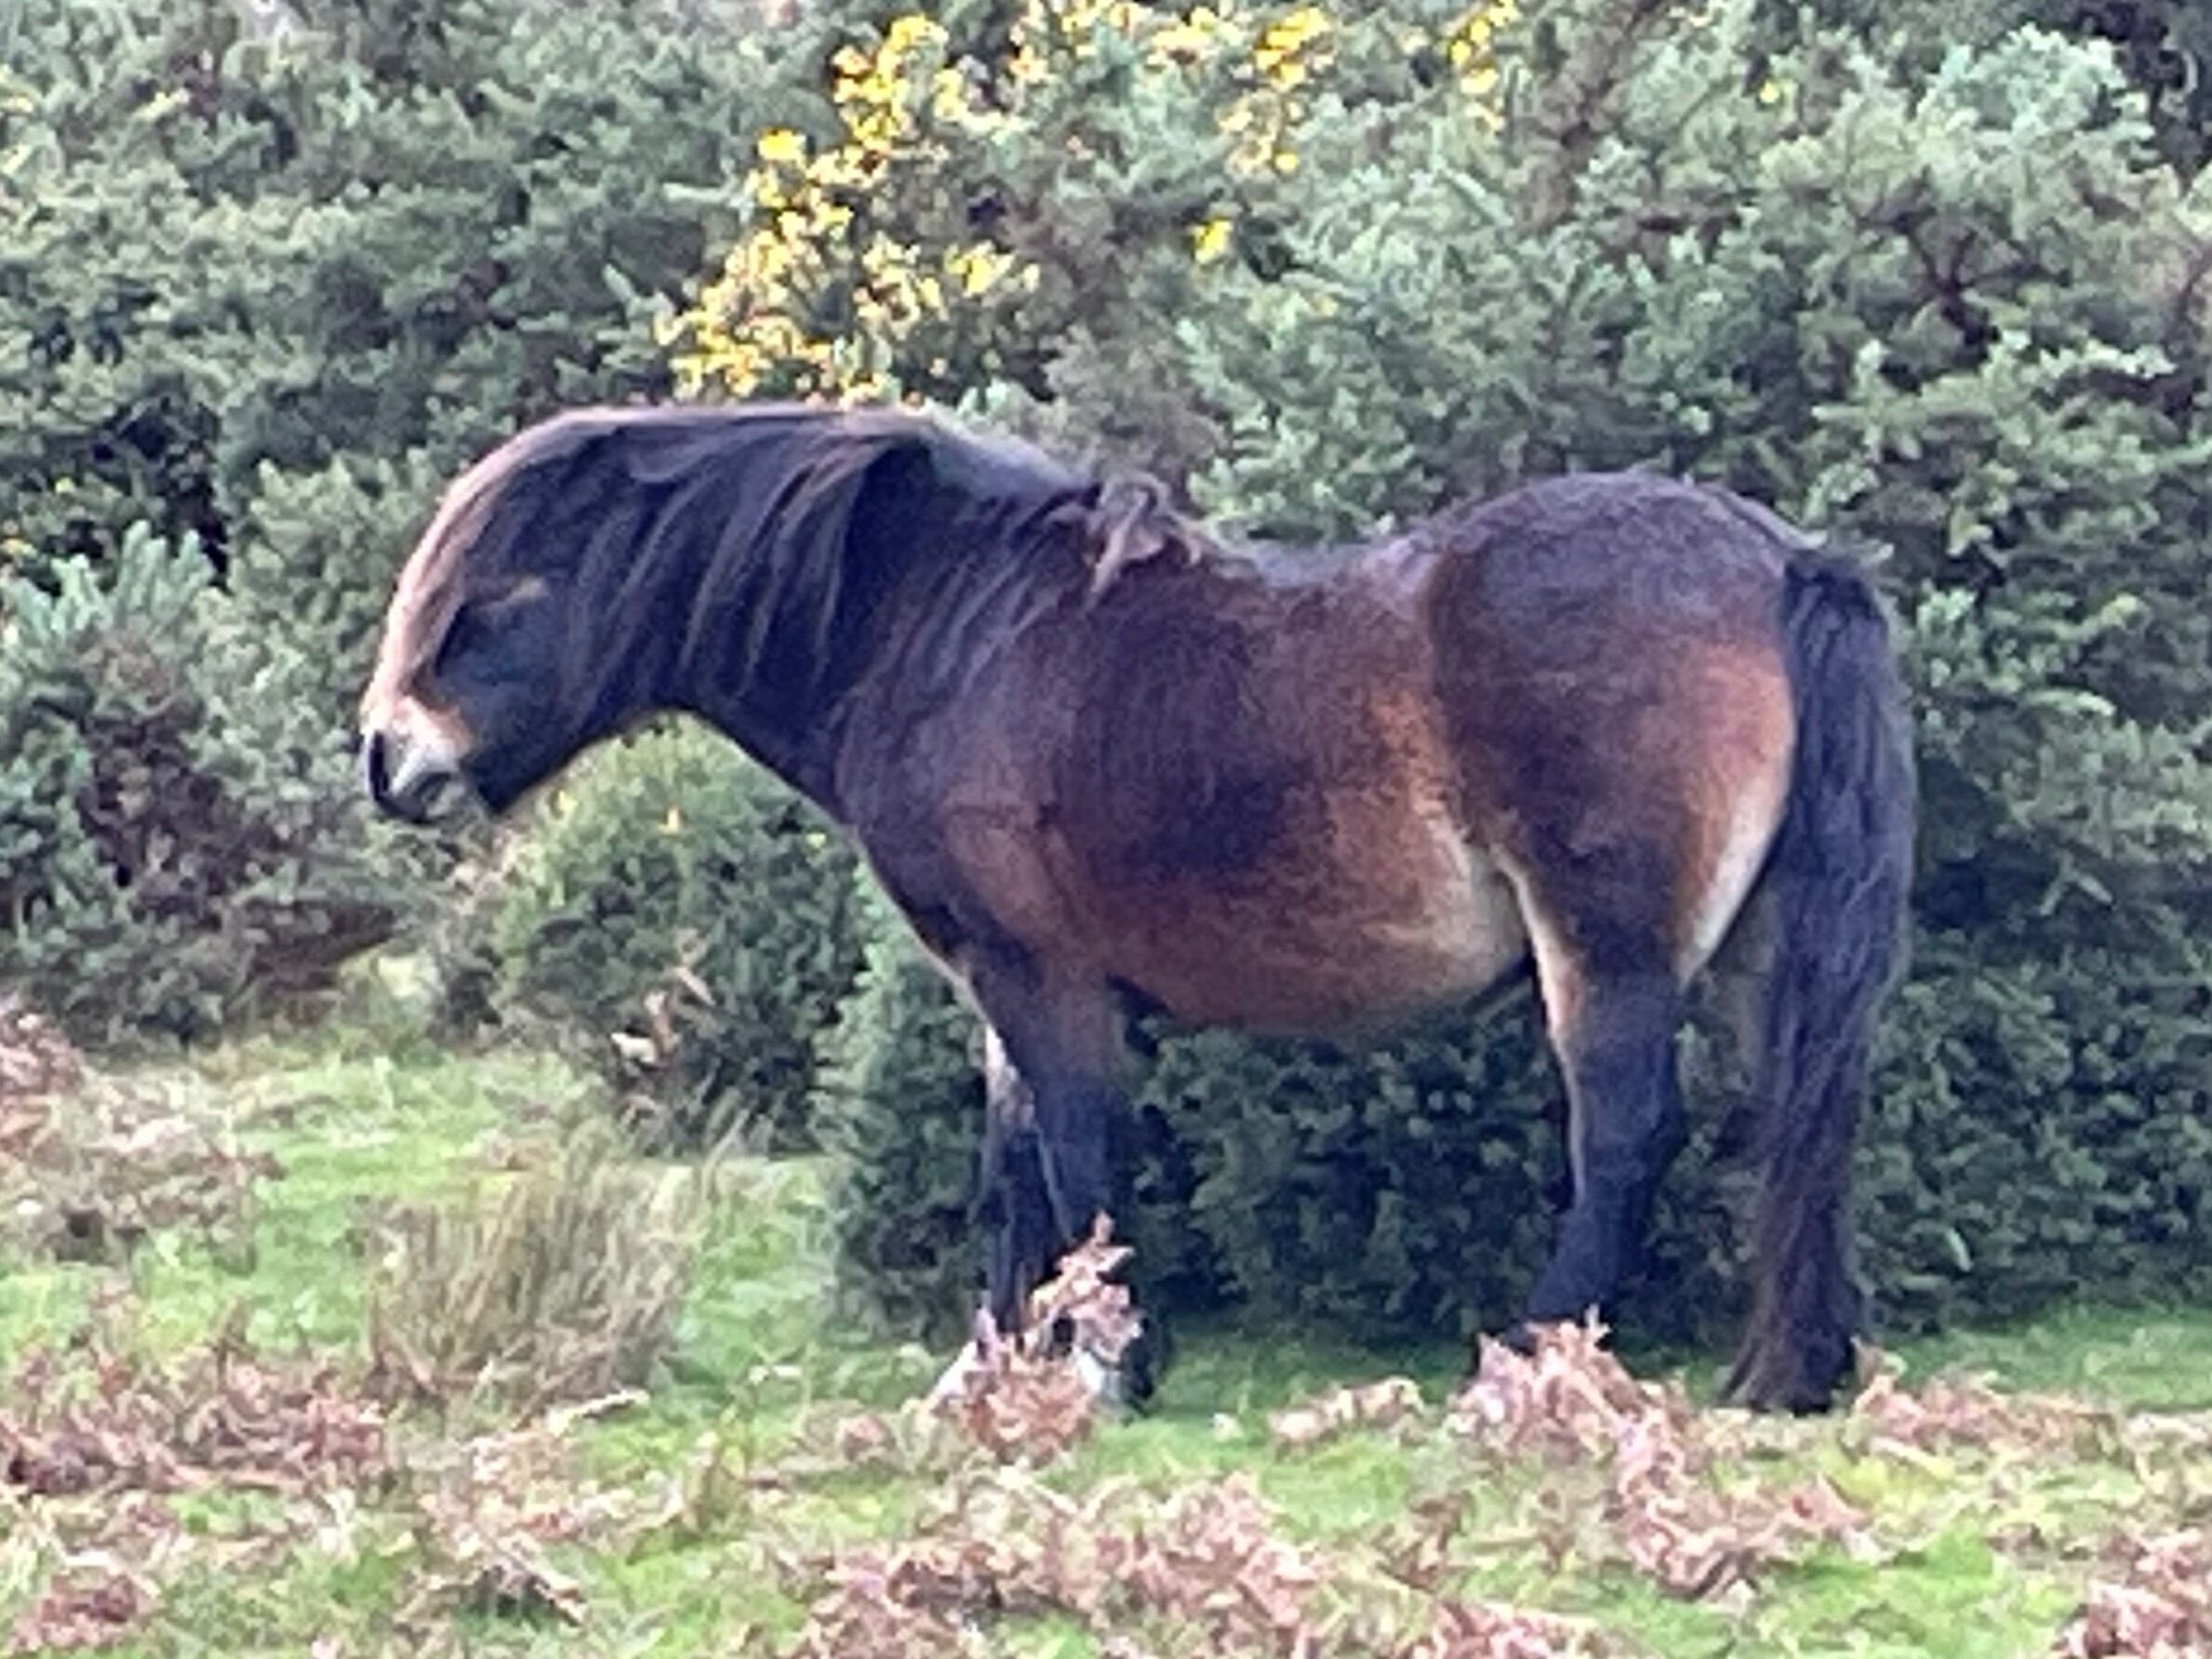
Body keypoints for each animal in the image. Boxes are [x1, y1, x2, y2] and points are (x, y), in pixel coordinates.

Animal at [358, 401, 1915, 1414]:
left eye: (496, 600)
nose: (386, 758)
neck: (955, 632)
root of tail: (1780, 561)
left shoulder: (1041, 978)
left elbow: (1076, 1162)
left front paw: (1110, 1363)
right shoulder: (997, 988)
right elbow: (1010, 1174)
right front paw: (985, 1370)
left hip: (1607, 954)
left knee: (1624, 1136)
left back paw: (1527, 1363)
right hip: (1754, 952)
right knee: (1794, 1123)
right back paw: (1792, 1369)